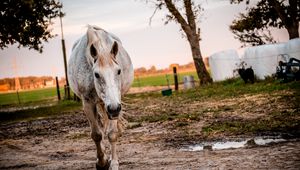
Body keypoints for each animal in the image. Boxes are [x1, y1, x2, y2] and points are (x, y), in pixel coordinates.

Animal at [68, 25, 134, 170]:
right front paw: (101, 162)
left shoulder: (116, 104)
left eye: (118, 71)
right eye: (96, 74)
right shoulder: (88, 103)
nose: (114, 108)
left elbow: (112, 134)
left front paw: (113, 163)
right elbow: (97, 135)